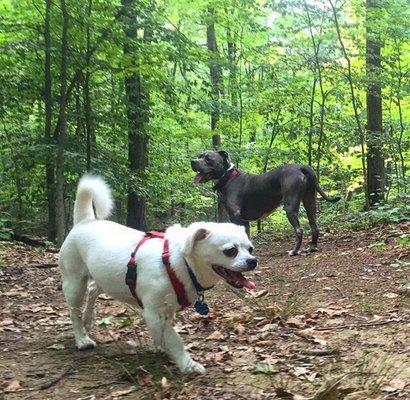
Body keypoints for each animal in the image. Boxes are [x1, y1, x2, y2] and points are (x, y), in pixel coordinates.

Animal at [58, 176, 256, 376]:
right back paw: (82, 338)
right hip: (75, 284)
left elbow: (164, 336)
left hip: (101, 277)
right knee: (74, 312)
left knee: (92, 290)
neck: (180, 263)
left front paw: (163, 348)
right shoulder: (154, 313)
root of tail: (85, 221)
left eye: (250, 249)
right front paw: (187, 364)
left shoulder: (166, 311)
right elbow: (174, 339)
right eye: (230, 251)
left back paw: (88, 319)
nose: (253, 261)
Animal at [191, 150, 342, 256]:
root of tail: (302, 167)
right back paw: (312, 247)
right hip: (310, 202)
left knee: (299, 230)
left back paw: (294, 251)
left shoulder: (237, 218)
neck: (228, 177)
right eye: (200, 155)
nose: (193, 161)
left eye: (208, 158)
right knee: (314, 226)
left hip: (290, 206)